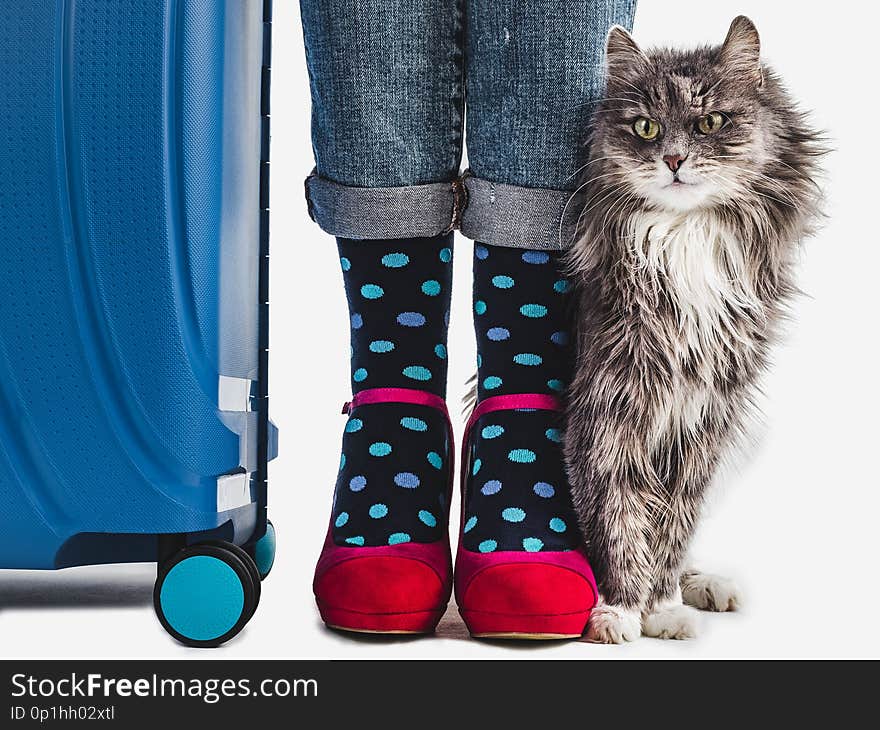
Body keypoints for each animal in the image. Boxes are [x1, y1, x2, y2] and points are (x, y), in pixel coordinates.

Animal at [564, 17, 824, 640]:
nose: (675, 160)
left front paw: (662, 608)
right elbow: (617, 519)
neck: (684, 237)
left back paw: (705, 585)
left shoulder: (705, 417)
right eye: (646, 126)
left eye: (710, 123)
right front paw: (620, 610)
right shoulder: (604, 413)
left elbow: (673, 527)